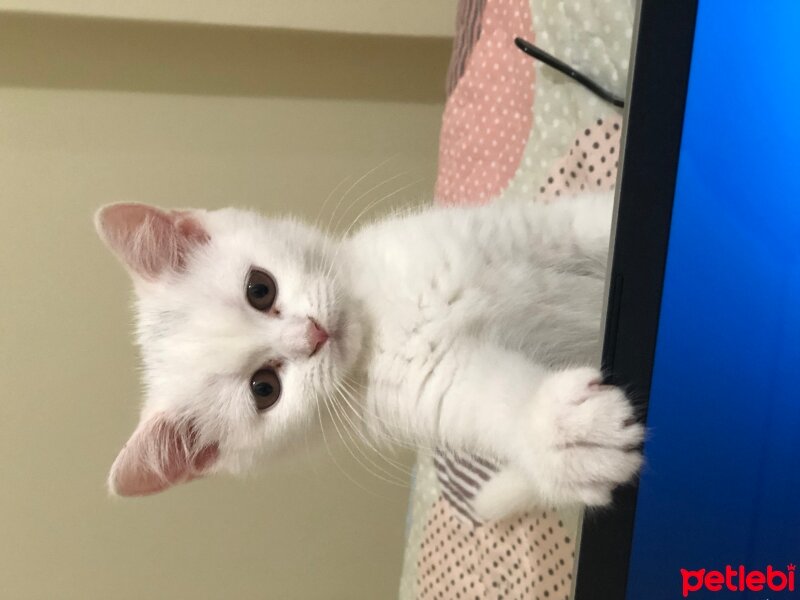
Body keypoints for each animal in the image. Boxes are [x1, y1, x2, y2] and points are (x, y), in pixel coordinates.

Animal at [95, 193, 644, 520]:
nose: (313, 335)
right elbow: (491, 401)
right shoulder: (432, 384)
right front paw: (559, 430)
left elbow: (579, 223)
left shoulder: (516, 232)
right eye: (264, 388)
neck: (381, 315)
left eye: (259, 288)